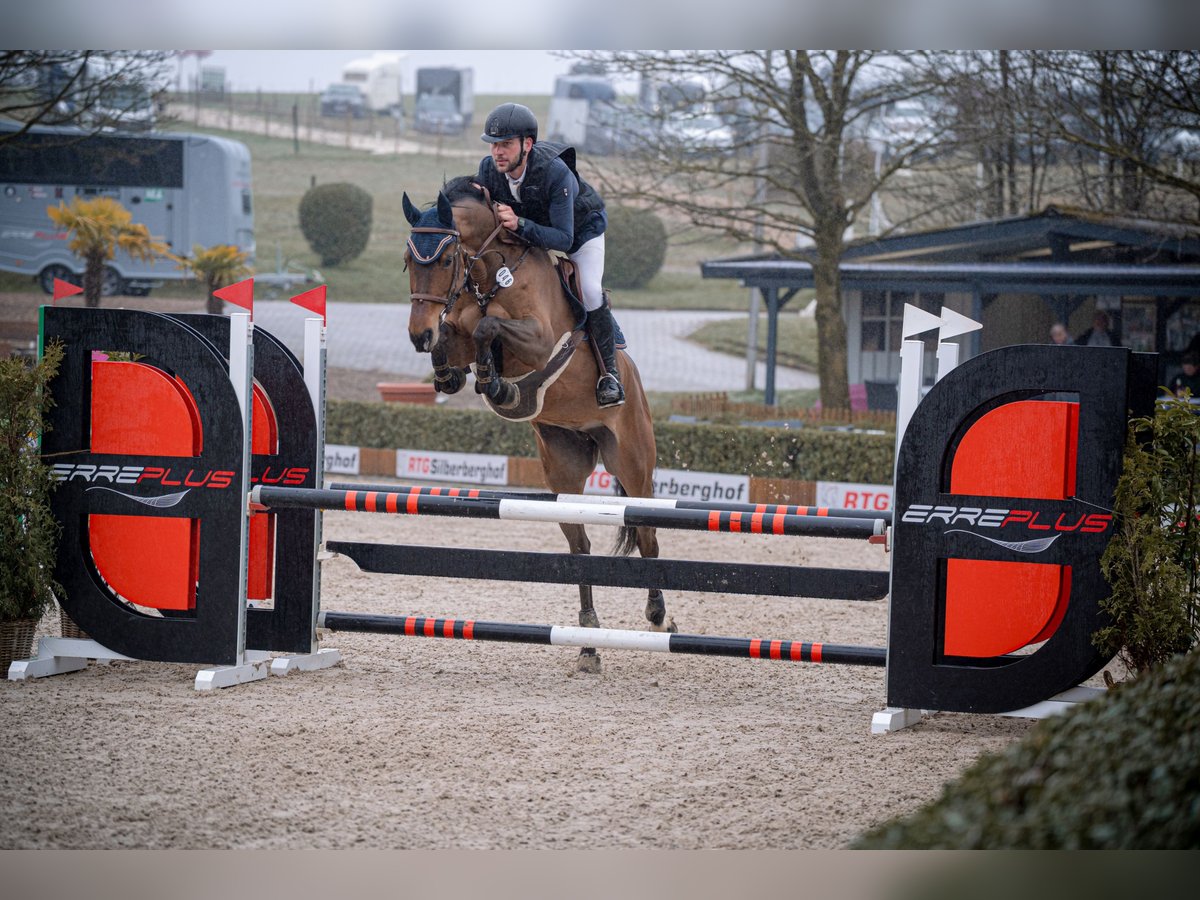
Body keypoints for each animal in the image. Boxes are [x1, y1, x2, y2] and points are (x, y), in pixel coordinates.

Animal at [401, 175, 673, 672]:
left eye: (446, 259)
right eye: (408, 260)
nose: (417, 335)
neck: (489, 276)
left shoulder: (540, 340)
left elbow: (489, 327)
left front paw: (497, 386)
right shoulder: (459, 328)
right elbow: (458, 334)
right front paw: (451, 375)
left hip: (633, 462)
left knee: (647, 535)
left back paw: (658, 614)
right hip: (563, 466)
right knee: (581, 548)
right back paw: (588, 645)